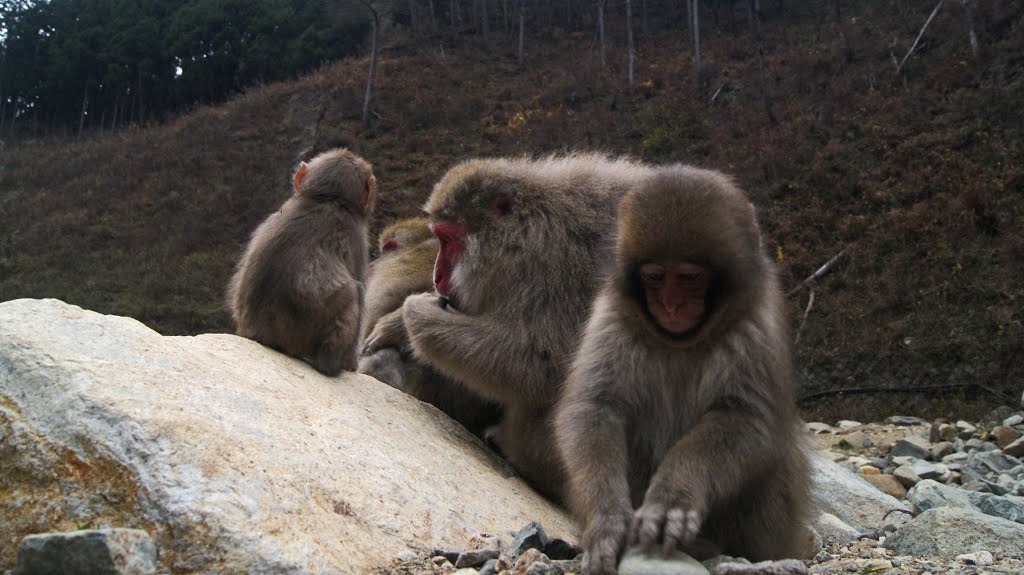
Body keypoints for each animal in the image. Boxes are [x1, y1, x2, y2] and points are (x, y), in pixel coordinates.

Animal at [226, 145, 378, 374]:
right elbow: (360, 293)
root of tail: (260, 333)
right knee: (351, 295)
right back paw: (329, 364)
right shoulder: (357, 238)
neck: (329, 200)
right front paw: (350, 364)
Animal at [393, 152, 655, 497]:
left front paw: (416, 314)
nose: (437, 276)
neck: (526, 232)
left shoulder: (561, 265)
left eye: (448, 239)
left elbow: (539, 366)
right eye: (439, 238)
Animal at [557, 163, 811, 568]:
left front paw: (672, 498)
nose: (671, 305)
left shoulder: (755, 328)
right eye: (655, 276)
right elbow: (595, 408)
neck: (682, 341)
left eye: (689, 277)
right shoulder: (611, 318)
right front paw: (607, 517)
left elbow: (744, 418)